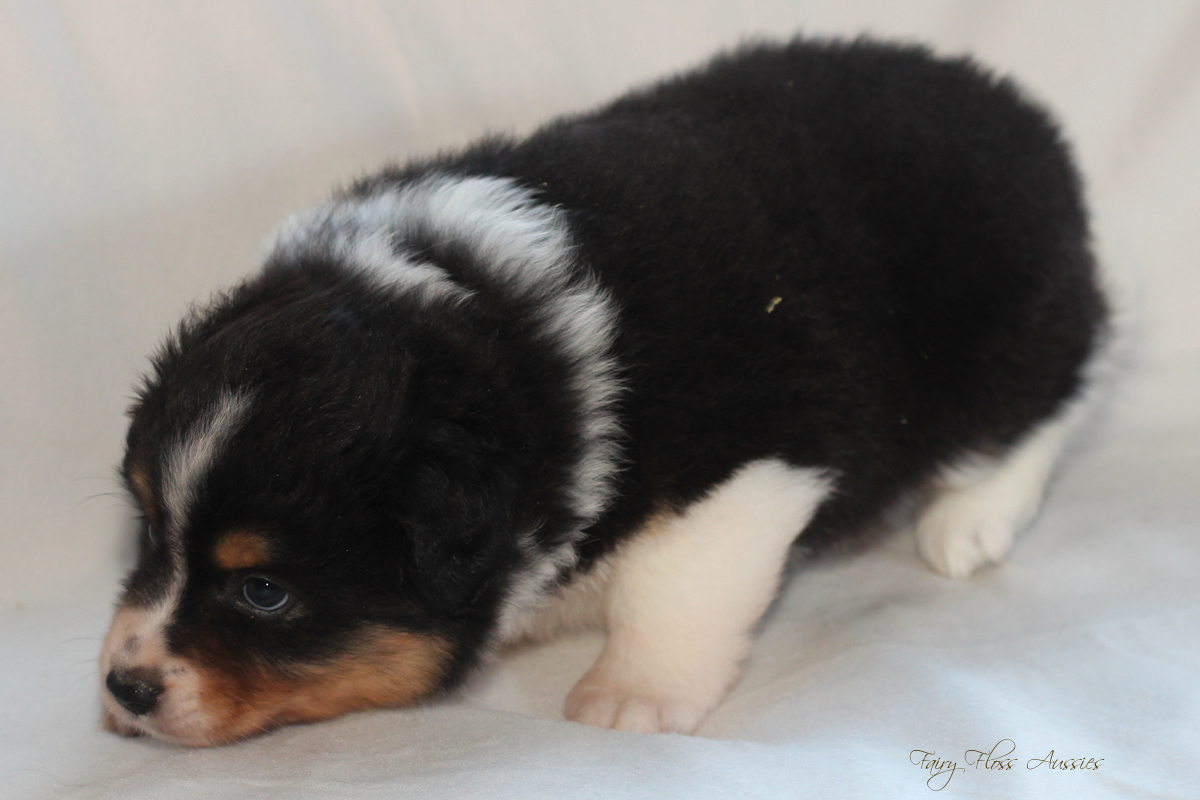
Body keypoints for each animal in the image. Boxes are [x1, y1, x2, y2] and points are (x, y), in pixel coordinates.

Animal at [100, 37, 1104, 743]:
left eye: (264, 591)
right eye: (148, 529)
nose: (123, 688)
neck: (498, 342)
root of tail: (1026, 117)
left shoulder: (751, 461)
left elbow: (673, 589)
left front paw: (631, 699)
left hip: (1003, 337)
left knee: (1060, 396)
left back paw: (970, 518)